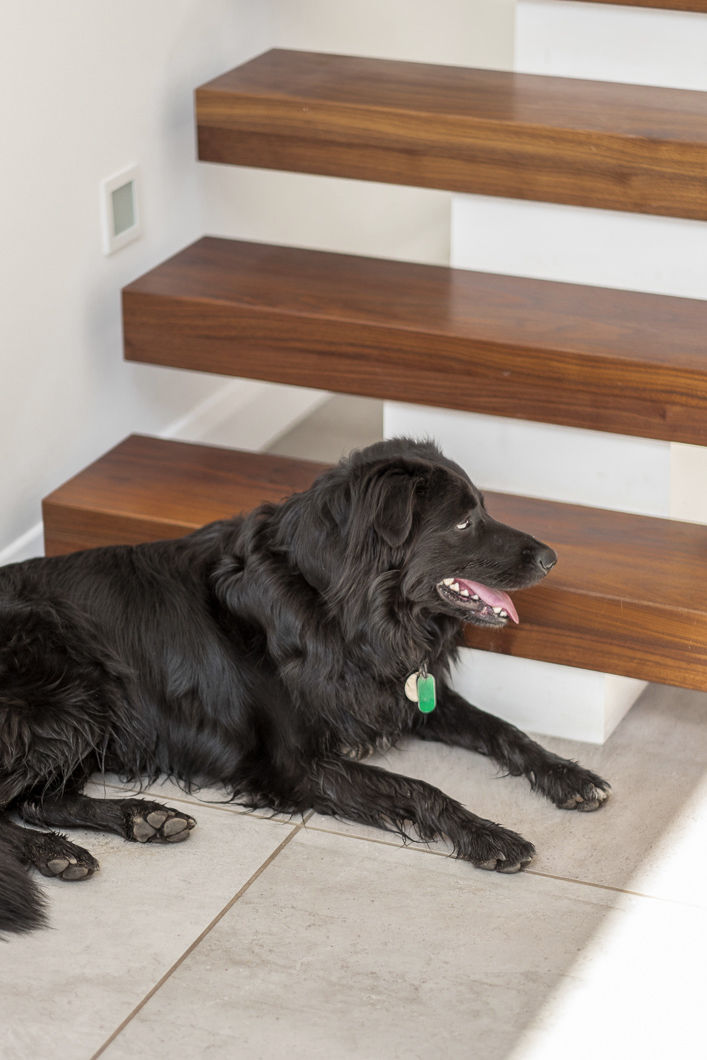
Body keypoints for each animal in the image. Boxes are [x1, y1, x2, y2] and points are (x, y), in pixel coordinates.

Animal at [0, 434, 610, 932]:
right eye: (464, 522)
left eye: (483, 509)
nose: (552, 558)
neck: (338, 606)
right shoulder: (296, 764)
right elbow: (421, 787)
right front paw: (487, 834)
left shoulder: (401, 694)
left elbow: (503, 729)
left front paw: (568, 774)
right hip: (77, 698)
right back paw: (59, 854)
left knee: (42, 801)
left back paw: (143, 819)